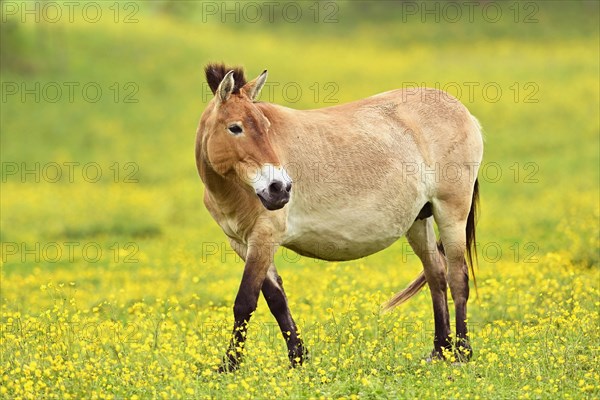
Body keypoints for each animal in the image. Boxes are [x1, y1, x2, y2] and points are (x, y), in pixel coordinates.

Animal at [197, 63, 482, 372]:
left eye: (266, 127)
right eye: (235, 128)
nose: (279, 188)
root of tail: (465, 113)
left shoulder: (264, 237)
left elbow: (245, 302)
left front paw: (229, 365)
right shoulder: (242, 242)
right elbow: (275, 299)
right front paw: (298, 358)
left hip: (451, 212)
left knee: (457, 277)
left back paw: (462, 353)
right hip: (419, 220)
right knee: (436, 275)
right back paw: (440, 351)